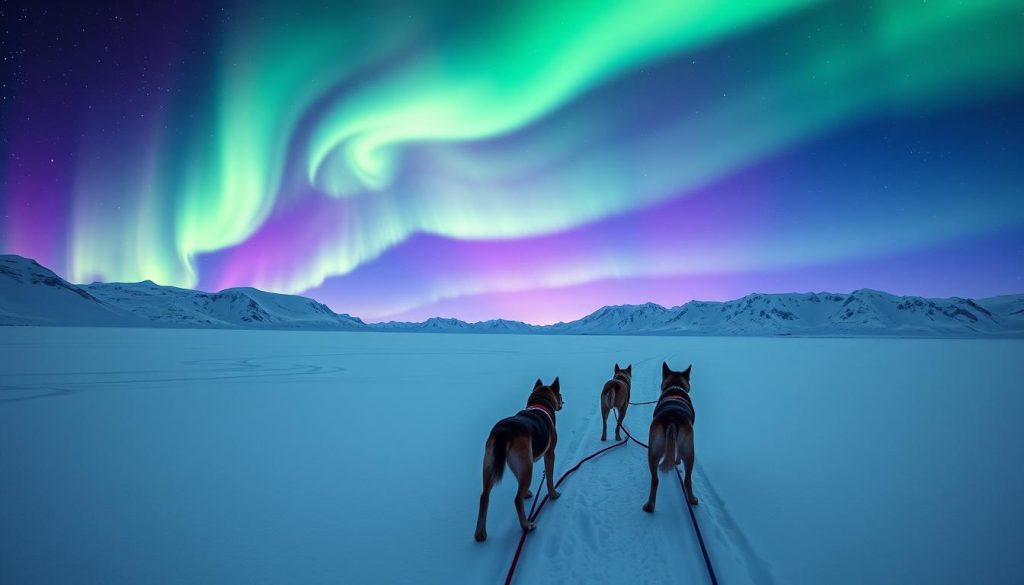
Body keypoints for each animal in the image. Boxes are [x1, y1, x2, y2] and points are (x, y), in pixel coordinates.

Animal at [475, 377, 565, 540]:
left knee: (484, 496)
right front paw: (553, 494)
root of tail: (504, 431)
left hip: (491, 465)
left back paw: (480, 533)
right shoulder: (549, 454)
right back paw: (526, 525)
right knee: (516, 499)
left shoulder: (520, 464)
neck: (540, 404)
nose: (564, 401)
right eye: (560, 395)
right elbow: (549, 478)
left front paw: (527, 493)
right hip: (527, 466)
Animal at [638, 362, 696, 512]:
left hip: (653, 450)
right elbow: (678, 455)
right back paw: (693, 499)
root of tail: (672, 419)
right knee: (687, 479)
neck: (675, 387)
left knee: (655, 480)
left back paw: (650, 506)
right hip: (689, 451)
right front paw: (676, 462)